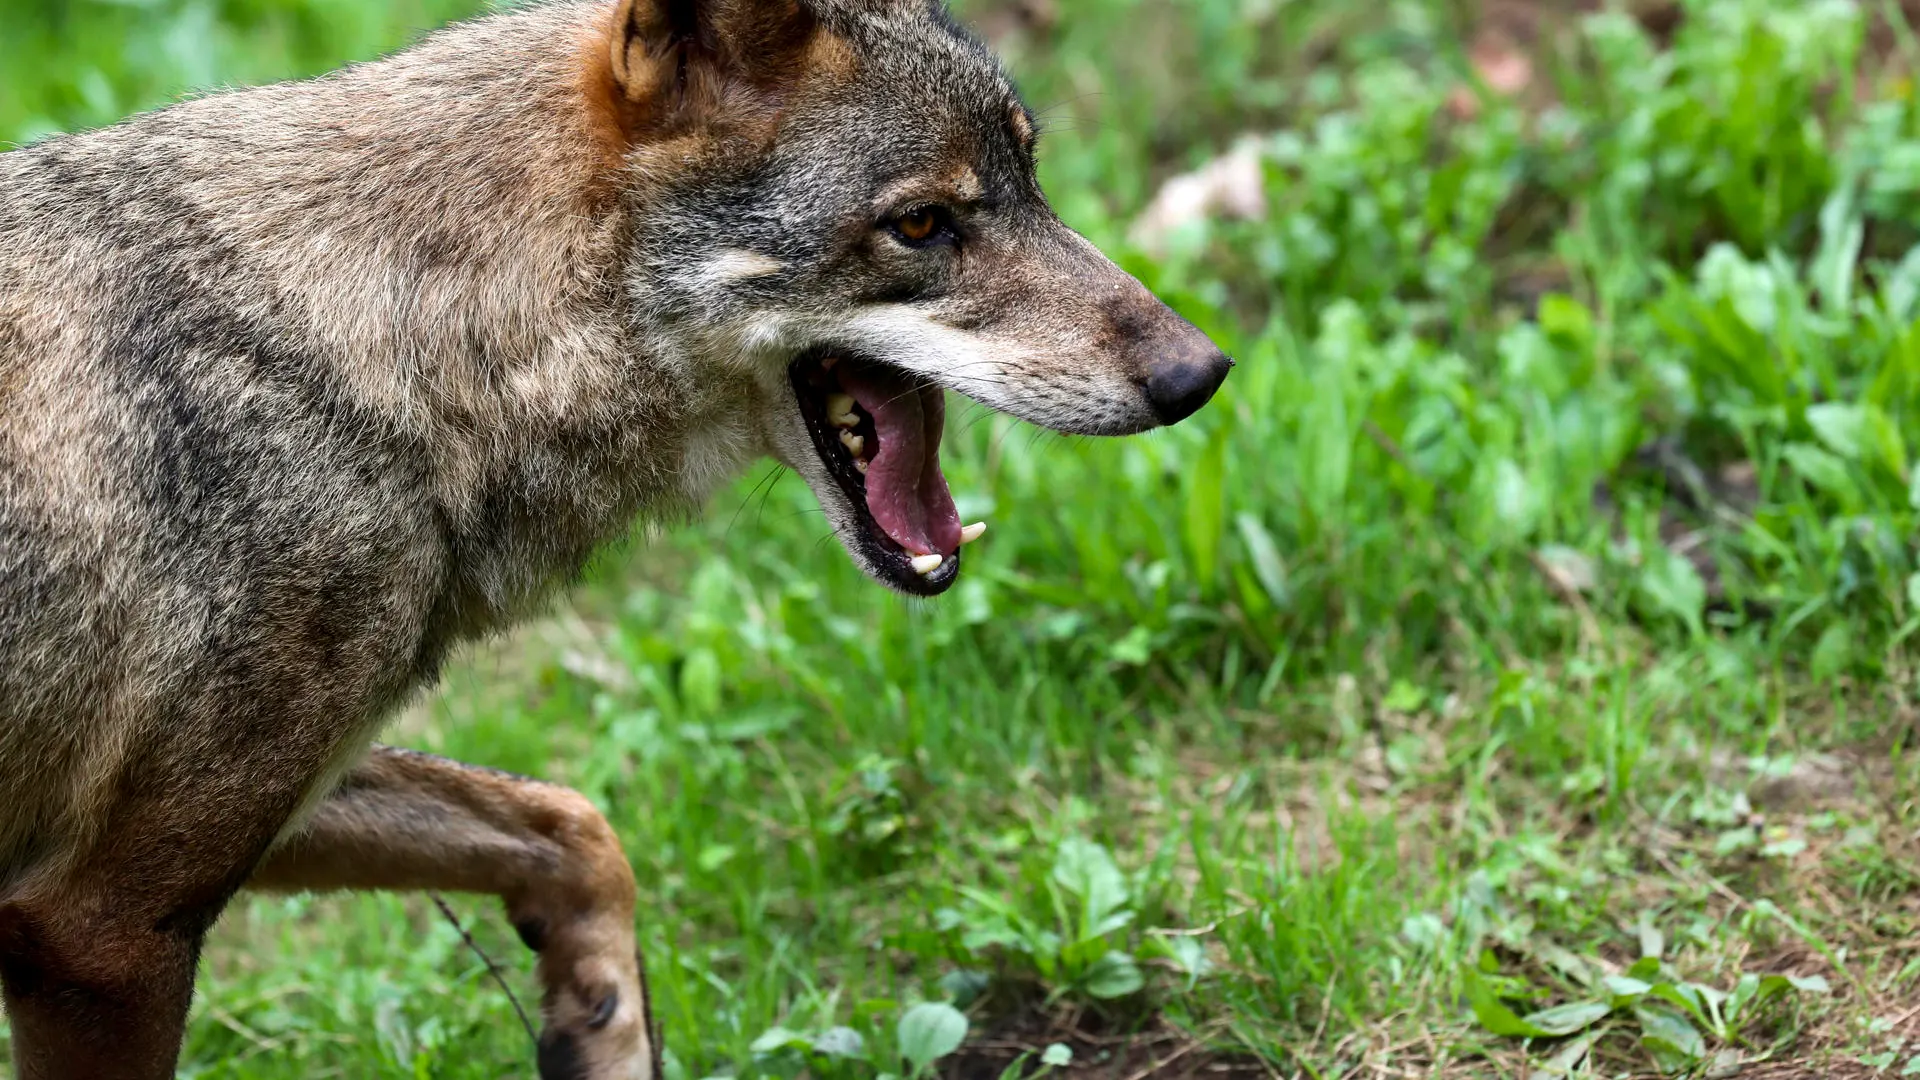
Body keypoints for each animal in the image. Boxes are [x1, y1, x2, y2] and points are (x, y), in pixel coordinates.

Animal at [0, 0, 1228, 1068]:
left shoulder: (178, 841)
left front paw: (598, 1026)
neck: (398, 349)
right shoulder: (101, 926)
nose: (1200, 375)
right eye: (923, 224)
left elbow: (576, 826)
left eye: (1033, 181)